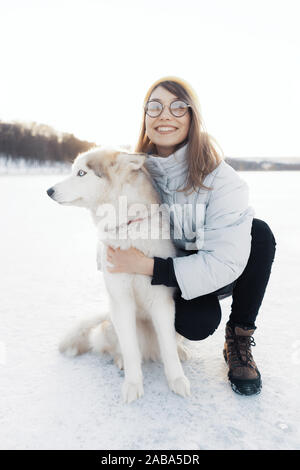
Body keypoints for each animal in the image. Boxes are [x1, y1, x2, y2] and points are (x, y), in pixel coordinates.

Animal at [46, 148, 190, 404]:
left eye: (81, 173)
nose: (49, 191)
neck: (128, 228)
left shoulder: (161, 302)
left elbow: (168, 348)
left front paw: (177, 380)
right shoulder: (121, 301)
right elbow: (131, 349)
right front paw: (133, 384)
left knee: (172, 343)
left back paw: (181, 351)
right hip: (110, 324)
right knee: (119, 347)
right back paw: (120, 359)